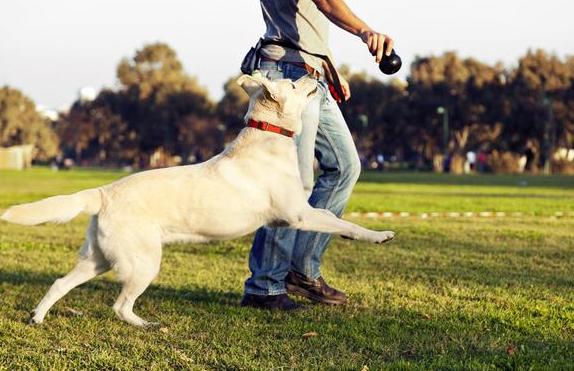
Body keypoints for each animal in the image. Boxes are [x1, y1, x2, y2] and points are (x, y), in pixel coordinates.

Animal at [1, 74, 396, 326]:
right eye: (294, 83)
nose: (315, 75)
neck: (268, 137)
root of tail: (103, 192)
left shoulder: (293, 216)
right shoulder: (299, 214)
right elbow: (341, 221)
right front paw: (379, 235)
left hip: (97, 259)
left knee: (59, 283)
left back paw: (38, 317)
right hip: (143, 263)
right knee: (119, 305)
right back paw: (145, 324)